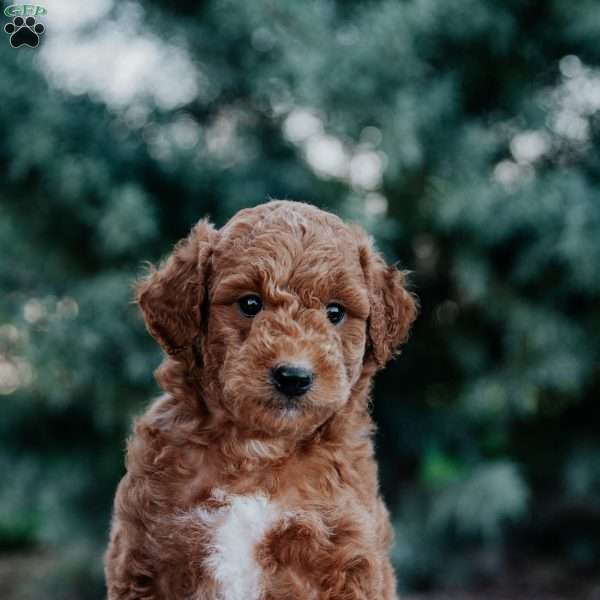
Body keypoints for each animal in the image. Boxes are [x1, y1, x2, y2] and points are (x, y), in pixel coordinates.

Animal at [105, 202, 418, 600]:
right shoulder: (146, 554)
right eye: (250, 303)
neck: (258, 450)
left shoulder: (348, 556)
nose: (293, 376)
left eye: (335, 312)